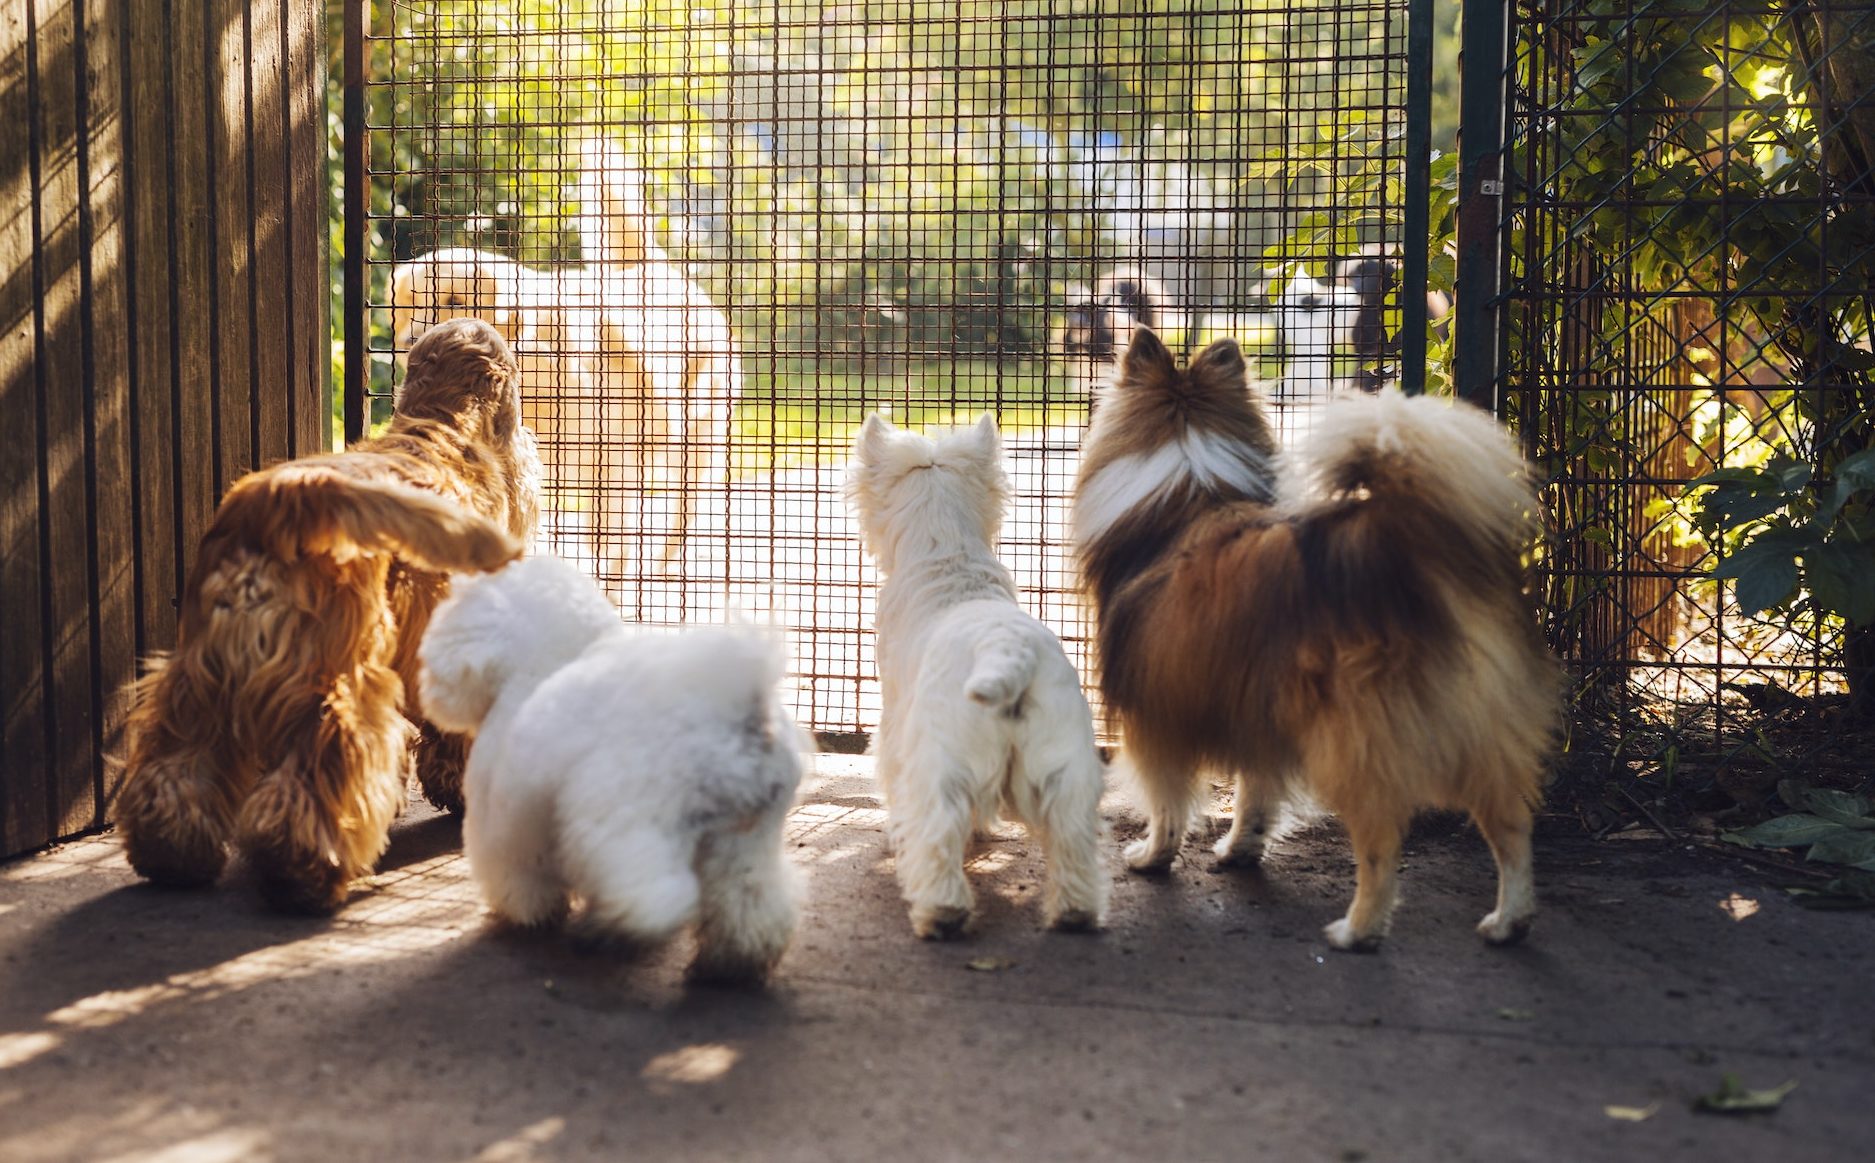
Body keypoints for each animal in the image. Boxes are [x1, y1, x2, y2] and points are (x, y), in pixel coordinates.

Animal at [114, 319, 541, 913]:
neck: (441, 422)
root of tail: (284, 495)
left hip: (200, 676)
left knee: (173, 767)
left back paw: (172, 855)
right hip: (337, 677)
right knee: (322, 769)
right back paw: (303, 869)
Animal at [389, 139, 740, 575]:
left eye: (453, 300)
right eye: (406, 306)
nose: (409, 340)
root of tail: (653, 269)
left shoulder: (613, 467)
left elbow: (611, 544)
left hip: (697, 444)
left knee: (681, 513)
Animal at [417, 555, 806, 983]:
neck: (544, 662)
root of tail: (738, 715)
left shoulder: (502, 827)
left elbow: (520, 878)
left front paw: (528, 915)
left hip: (623, 821)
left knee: (656, 896)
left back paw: (613, 930)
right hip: (746, 839)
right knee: (750, 902)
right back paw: (732, 966)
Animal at [848, 413, 1108, 939]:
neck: (946, 552)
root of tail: (1005, 651)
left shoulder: (895, 723)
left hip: (942, 760)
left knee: (938, 832)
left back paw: (941, 911)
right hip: (1065, 763)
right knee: (1073, 839)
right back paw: (1074, 912)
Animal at [1072, 329, 1559, 950]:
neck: (1189, 490)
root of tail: (1409, 543)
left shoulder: (1155, 715)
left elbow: (1168, 801)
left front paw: (1153, 856)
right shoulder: (1256, 706)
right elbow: (1255, 792)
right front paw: (1240, 849)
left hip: (1354, 742)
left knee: (1382, 847)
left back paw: (1358, 929)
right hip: (1479, 729)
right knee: (1513, 827)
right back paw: (1509, 920)